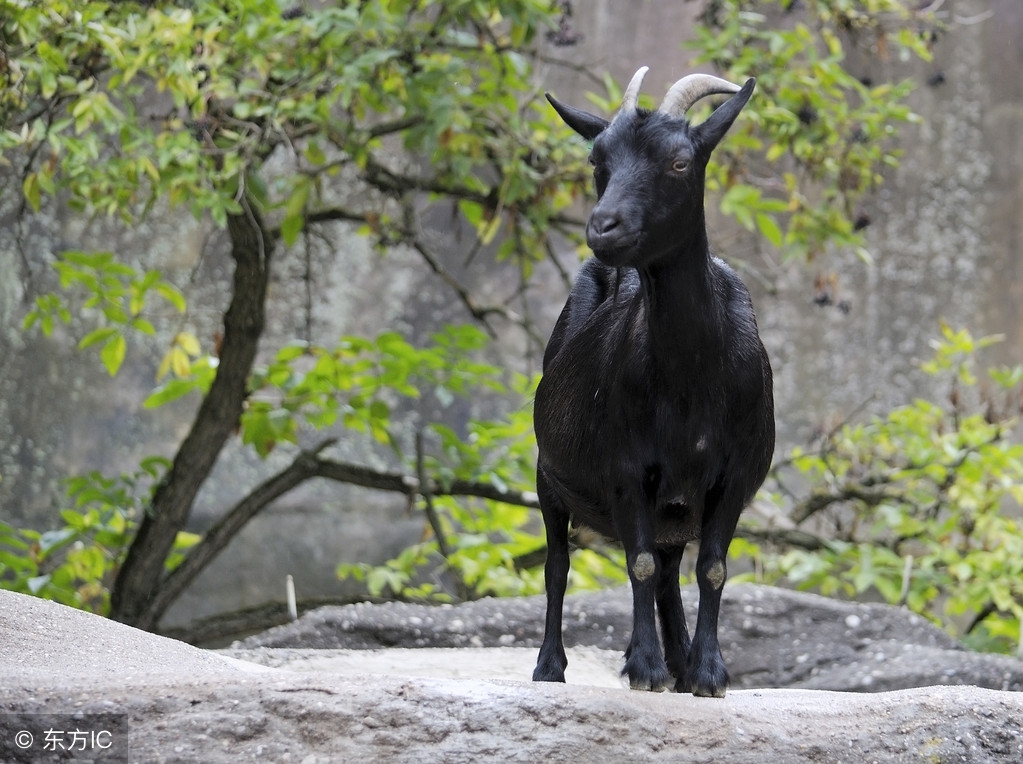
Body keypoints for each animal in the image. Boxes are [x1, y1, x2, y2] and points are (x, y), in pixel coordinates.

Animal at [531, 68, 769, 695]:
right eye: (598, 160)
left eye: (680, 162)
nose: (603, 227)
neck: (691, 378)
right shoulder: (626, 468)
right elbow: (634, 562)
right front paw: (644, 667)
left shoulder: (730, 477)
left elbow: (712, 568)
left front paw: (707, 673)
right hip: (548, 473)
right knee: (558, 564)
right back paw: (550, 666)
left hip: (675, 507)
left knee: (667, 570)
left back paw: (681, 662)